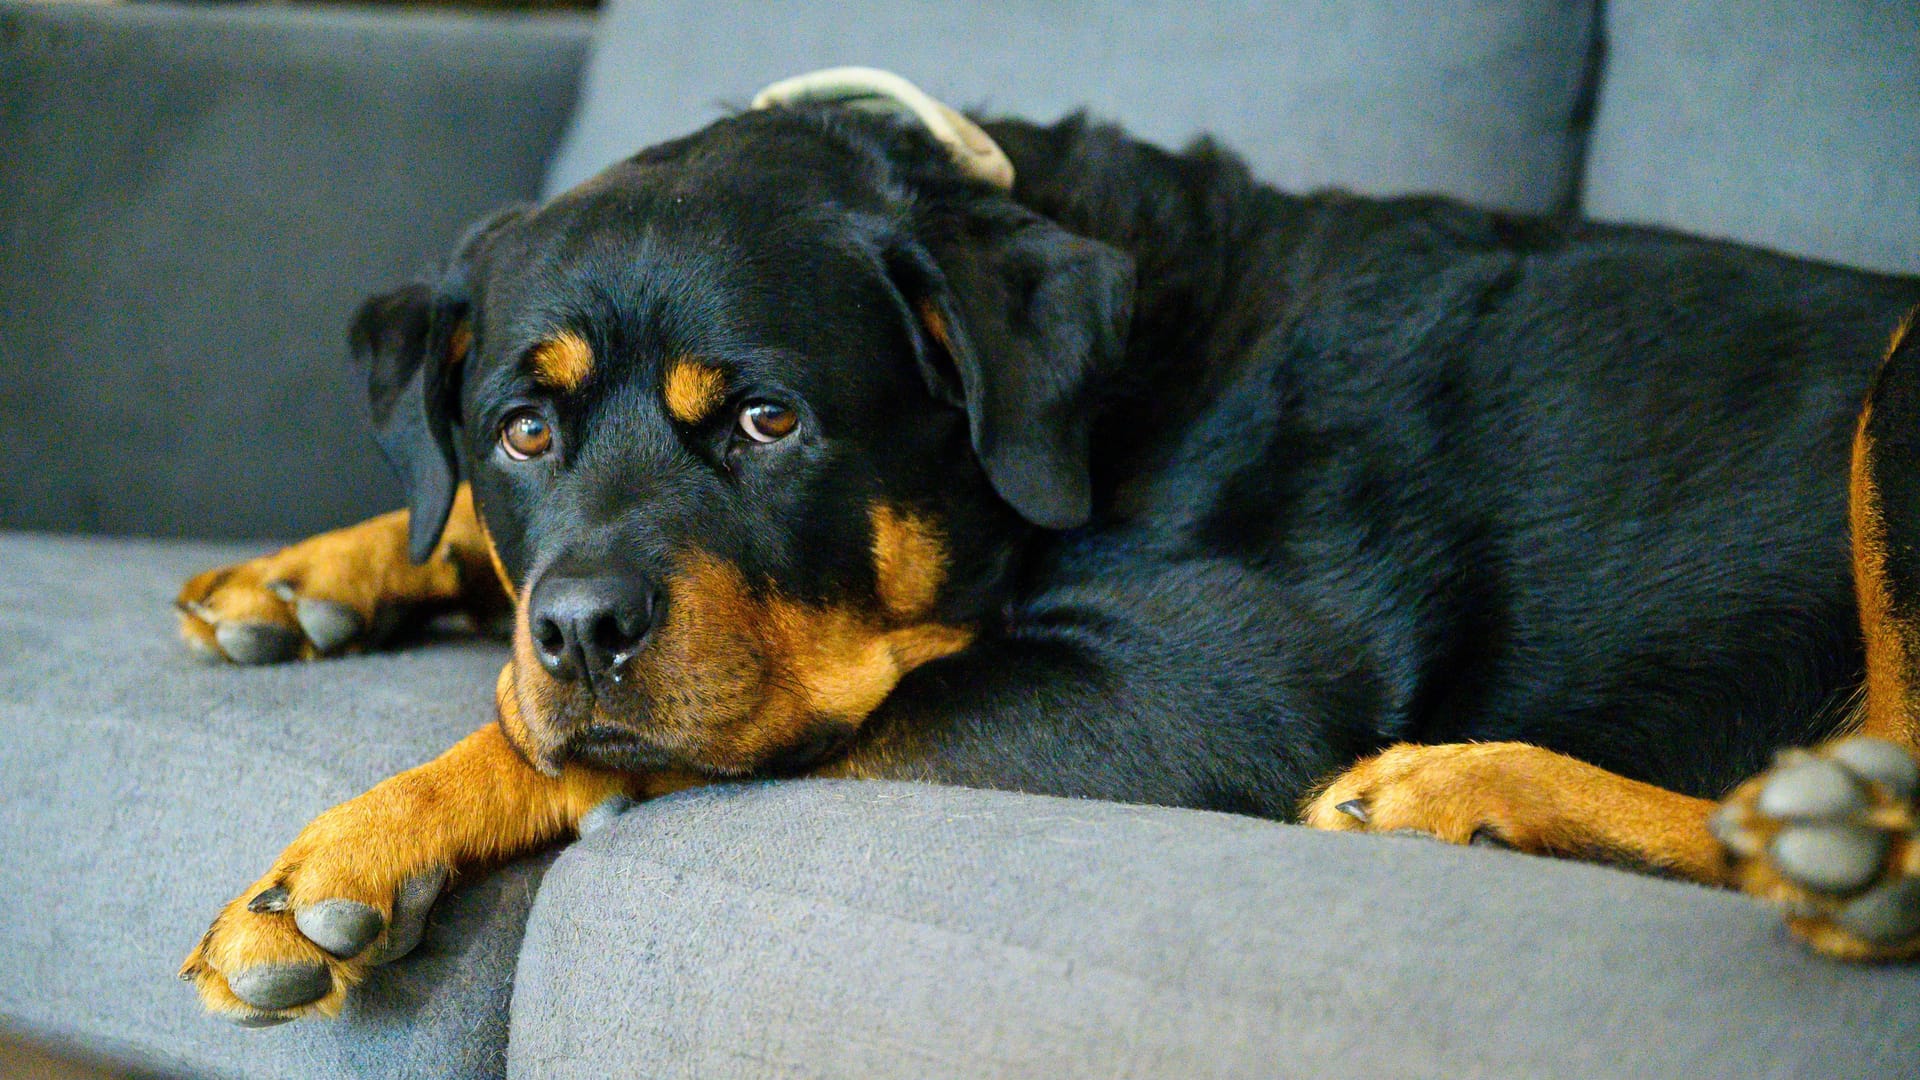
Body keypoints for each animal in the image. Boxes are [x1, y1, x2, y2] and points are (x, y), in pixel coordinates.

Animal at [180, 69, 1920, 1014]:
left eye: (768, 423)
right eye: (522, 433)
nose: (585, 629)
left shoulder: (1187, 698)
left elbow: (678, 747)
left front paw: (350, 849)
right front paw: (314, 573)